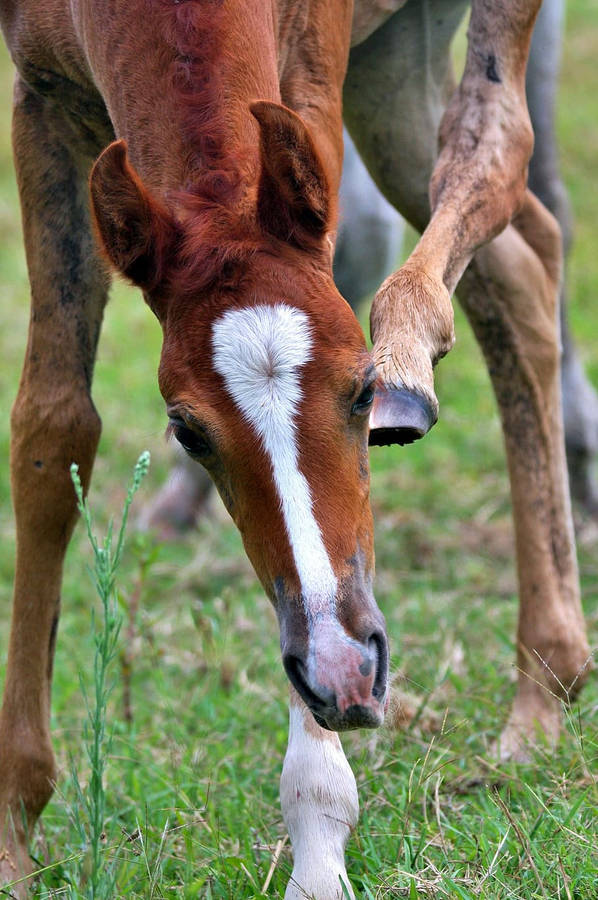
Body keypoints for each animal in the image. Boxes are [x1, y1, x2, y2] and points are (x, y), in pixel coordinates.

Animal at [0, 0, 591, 897]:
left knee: (495, 149)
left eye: (359, 390)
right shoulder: (42, 101)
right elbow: (52, 428)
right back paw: (544, 688)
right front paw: (13, 833)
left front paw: (317, 840)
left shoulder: (308, 79)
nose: (344, 674)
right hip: (393, 66)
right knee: (520, 264)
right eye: (186, 430)